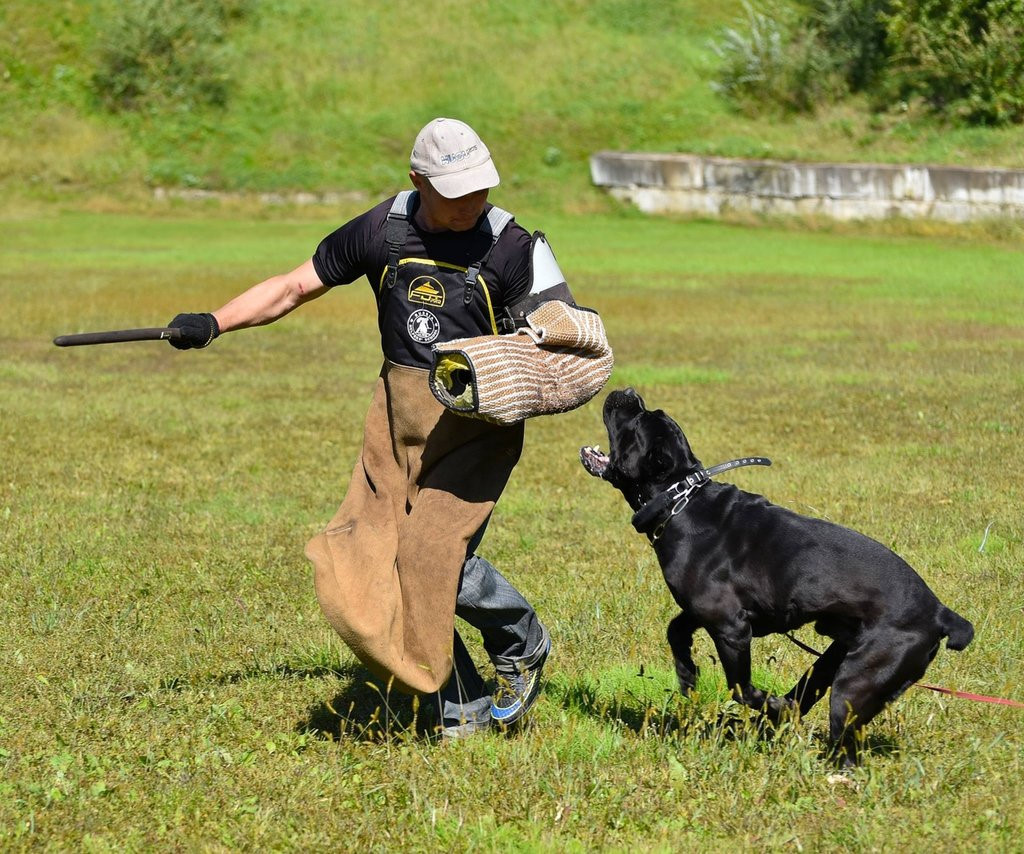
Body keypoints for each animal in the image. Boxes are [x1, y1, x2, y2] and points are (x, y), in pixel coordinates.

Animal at [581, 389, 970, 761]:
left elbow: (741, 688)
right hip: (835, 658)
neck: (681, 500)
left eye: (636, 422)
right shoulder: (705, 613)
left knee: (844, 746)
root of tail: (940, 613)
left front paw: (763, 702)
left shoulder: (731, 627)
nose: (628, 392)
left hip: (857, 681)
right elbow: (675, 629)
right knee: (805, 698)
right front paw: (687, 673)